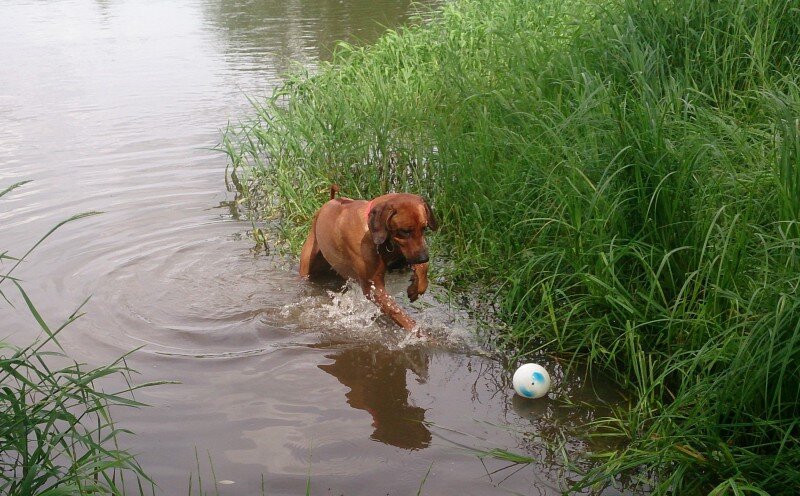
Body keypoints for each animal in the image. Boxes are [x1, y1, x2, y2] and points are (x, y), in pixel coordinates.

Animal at [300, 184, 438, 332]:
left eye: (424, 228)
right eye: (405, 231)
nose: (424, 257)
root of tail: (329, 202)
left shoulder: (403, 252)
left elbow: (422, 267)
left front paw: (416, 288)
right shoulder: (374, 287)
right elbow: (398, 313)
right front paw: (417, 332)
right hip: (307, 264)